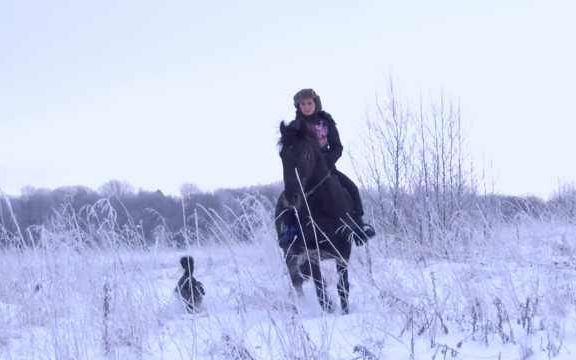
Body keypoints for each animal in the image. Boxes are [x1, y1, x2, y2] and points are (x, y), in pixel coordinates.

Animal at [276, 120, 358, 312]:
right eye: (282, 155)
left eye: (306, 154)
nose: (291, 197)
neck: (322, 208)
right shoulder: (311, 252)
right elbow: (320, 286)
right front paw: (329, 308)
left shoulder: (344, 250)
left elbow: (342, 286)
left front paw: (344, 311)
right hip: (289, 253)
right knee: (297, 282)